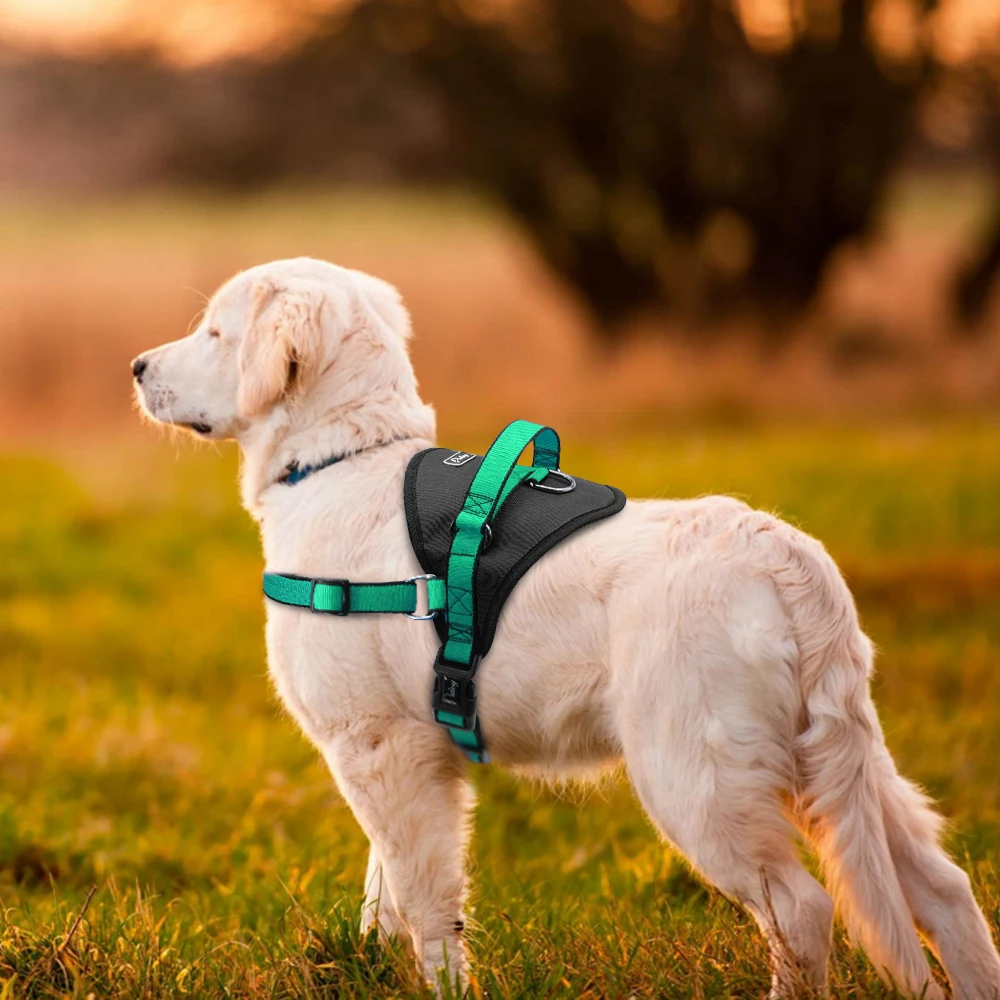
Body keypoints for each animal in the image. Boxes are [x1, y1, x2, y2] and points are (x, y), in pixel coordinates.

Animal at [137, 254, 1000, 996]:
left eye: (213, 332)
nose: (138, 369)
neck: (342, 459)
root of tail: (786, 558)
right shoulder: (405, 754)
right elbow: (385, 888)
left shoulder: (379, 745)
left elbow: (423, 897)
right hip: (848, 757)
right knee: (945, 890)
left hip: (697, 775)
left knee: (803, 909)